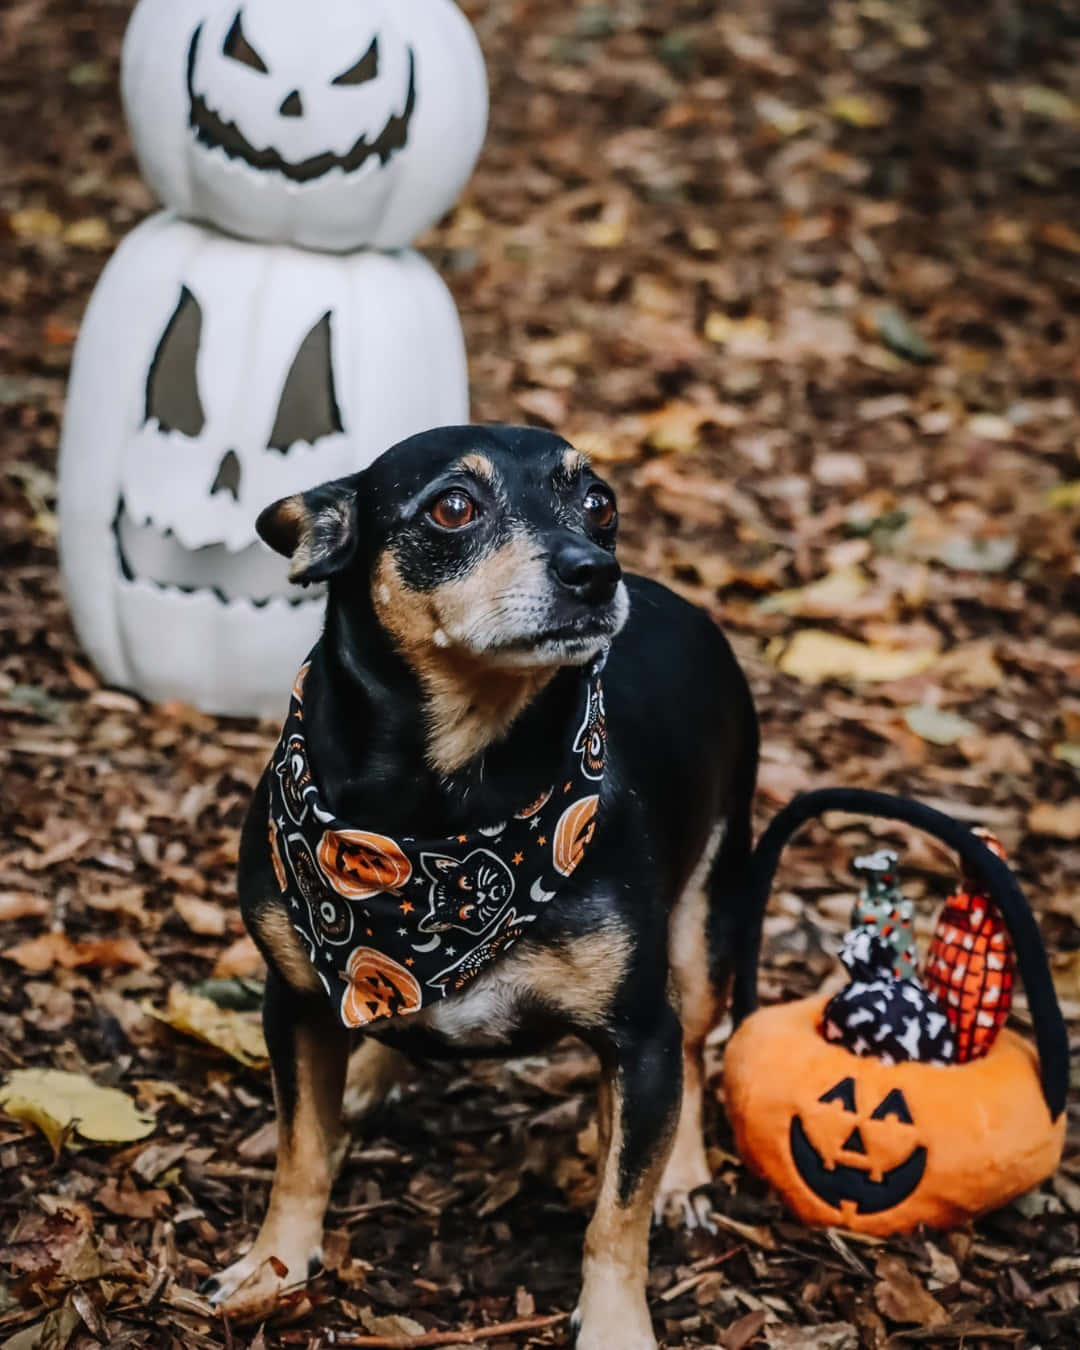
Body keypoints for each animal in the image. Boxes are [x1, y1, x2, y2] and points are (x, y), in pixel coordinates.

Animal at [205, 426, 761, 1344]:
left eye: (599, 502)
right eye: (454, 508)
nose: (594, 571)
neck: (445, 813)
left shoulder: (637, 1037)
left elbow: (618, 1214)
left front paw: (616, 1323)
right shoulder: (294, 1004)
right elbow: (302, 1153)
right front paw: (274, 1266)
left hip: (706, 926)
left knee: (690, 1047)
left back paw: (681, 1175)